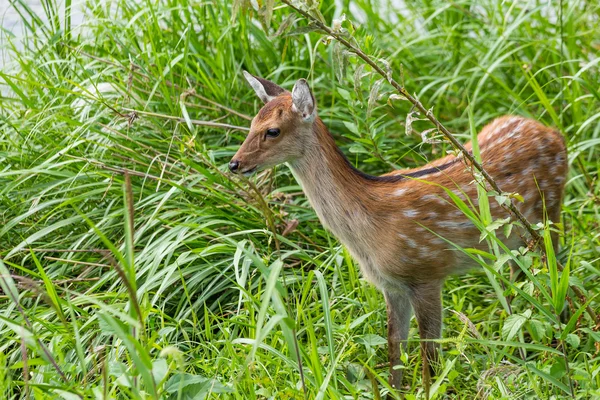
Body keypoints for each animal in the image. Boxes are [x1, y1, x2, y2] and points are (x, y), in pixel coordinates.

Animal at [229, 71, 568, 394]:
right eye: (251, 123)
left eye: (273, 130)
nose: (234, 164)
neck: (369, 228)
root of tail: (555, 133)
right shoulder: (390, 285)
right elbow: (395, 349)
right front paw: (395, 390)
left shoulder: (427, 272)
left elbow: (429, 355)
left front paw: (431, 390)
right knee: (517, 279)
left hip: (548, 216)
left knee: (555, 269)